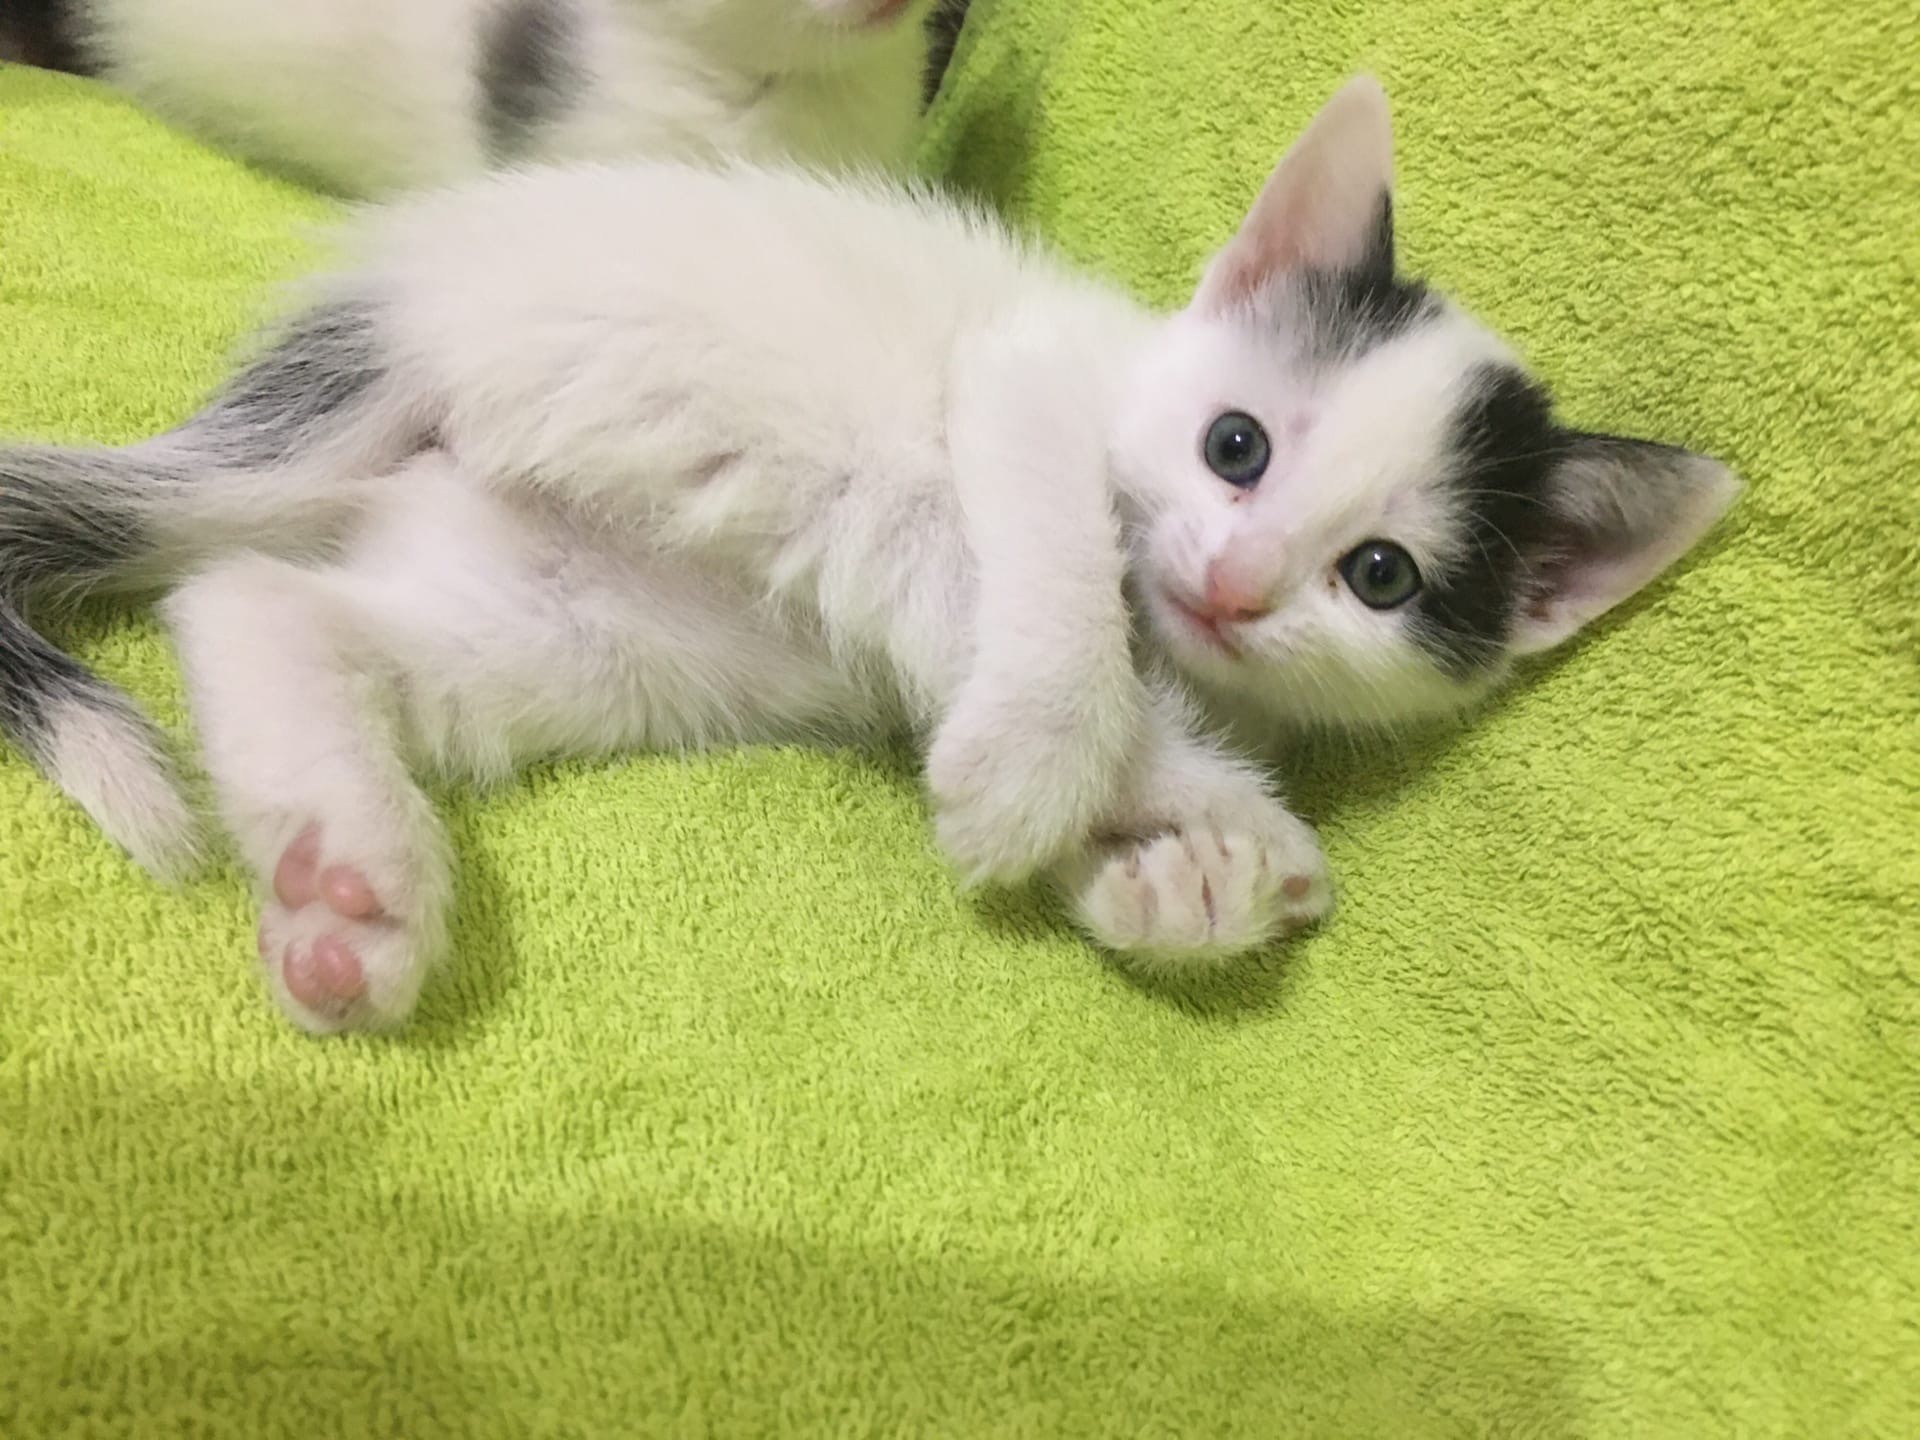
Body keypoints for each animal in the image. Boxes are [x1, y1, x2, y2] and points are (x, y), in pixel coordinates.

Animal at [0, 77, 1741, 1034]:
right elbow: (1062, 588)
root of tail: (401, 299)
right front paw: (1072, 779)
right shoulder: (1027, 380)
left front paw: (1178, 888)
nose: (1235, 586)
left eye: (1381, 578)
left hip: (567, 619)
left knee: (251, 599)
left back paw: (343, 879)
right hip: (711, 398)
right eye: (1236, 445)